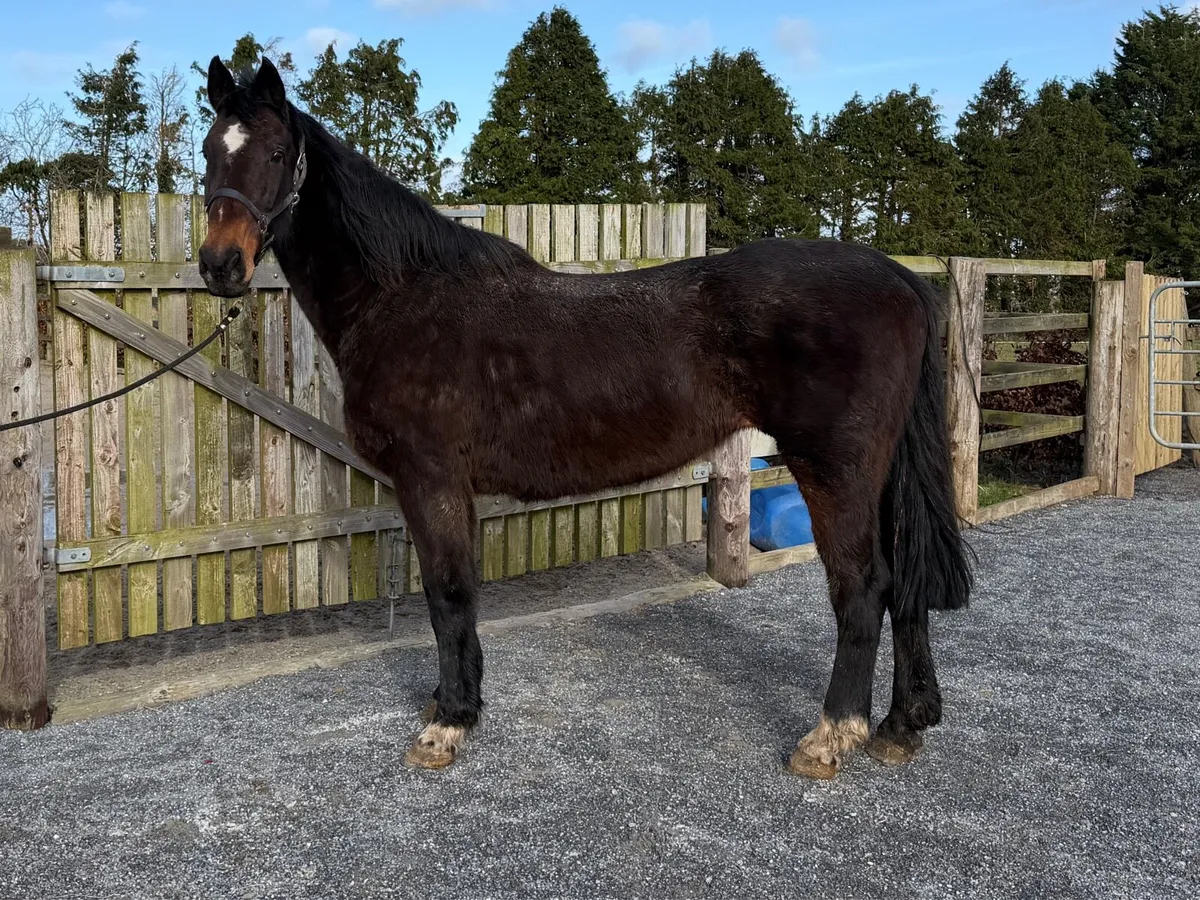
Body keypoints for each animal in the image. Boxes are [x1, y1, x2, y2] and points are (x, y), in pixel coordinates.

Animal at [197, 56, 973, 778]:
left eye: (275, 152)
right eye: (208, 150)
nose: (220, 265)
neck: (405, 297)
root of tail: (899, 277)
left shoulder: (431, 478)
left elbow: (448, 593)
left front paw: (447, 724)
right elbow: (457, 594)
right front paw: (455, 703)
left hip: (834, 468)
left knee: (862, 586)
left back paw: (830, 735)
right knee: (902, 582)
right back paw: (901, 724)